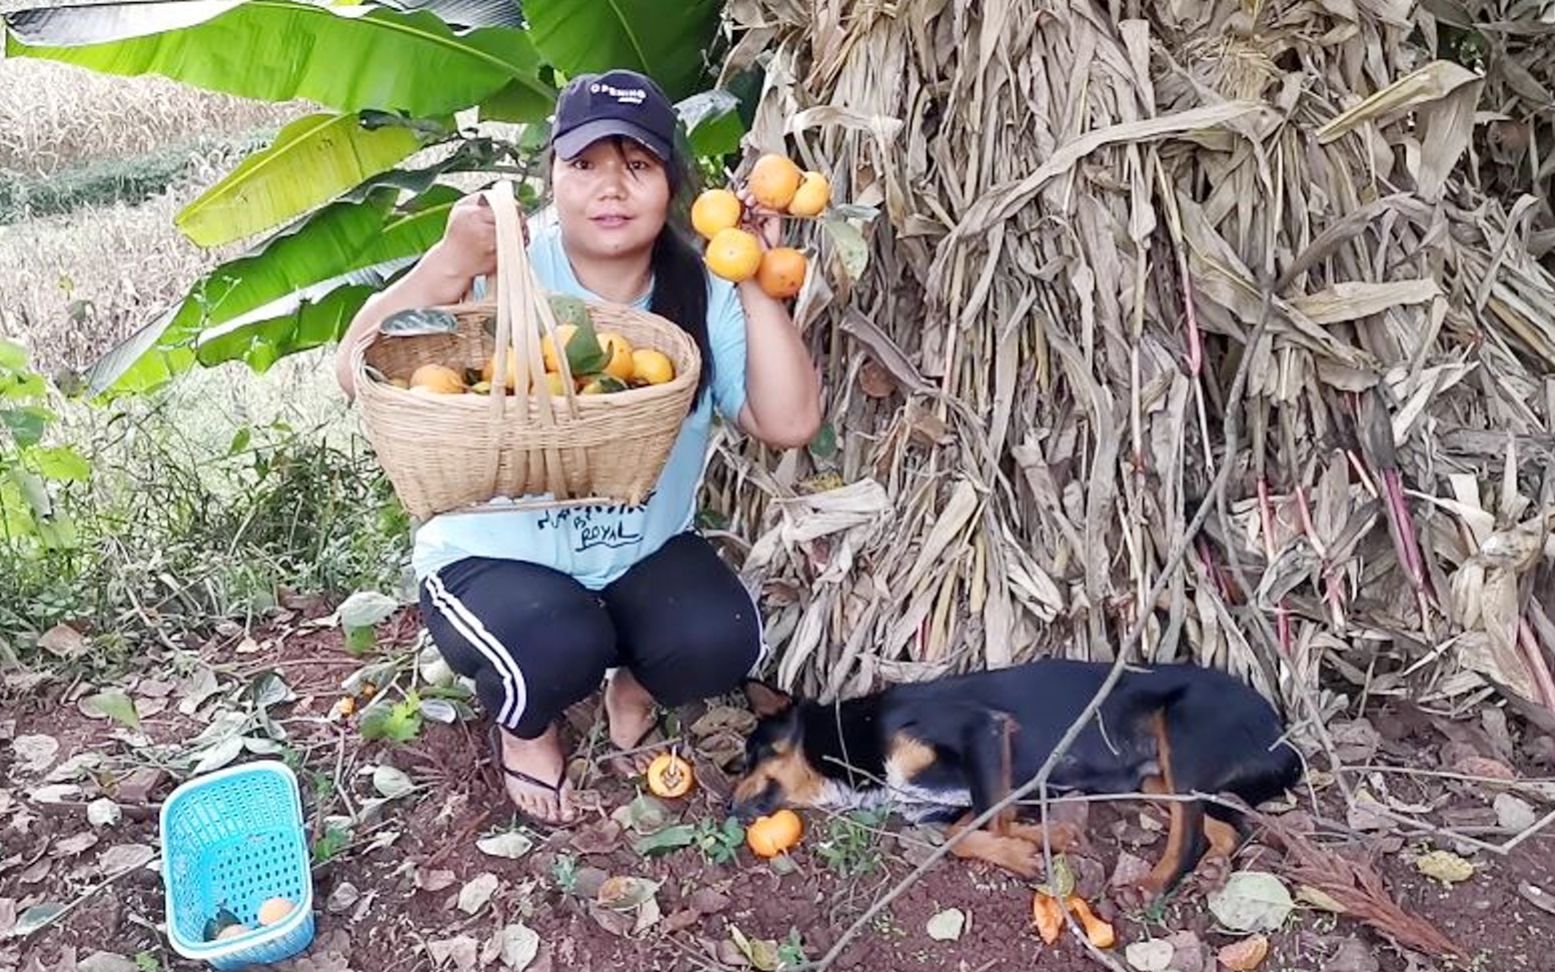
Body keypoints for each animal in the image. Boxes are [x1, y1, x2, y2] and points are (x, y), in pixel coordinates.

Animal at [727, 656, 1299, 895]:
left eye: (753, 753)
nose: (729, 807)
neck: (853, 742)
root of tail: (1282, 731)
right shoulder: (959, 796)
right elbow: (962, 831)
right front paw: (1052, 834)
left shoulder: (985, 730)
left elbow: (984, 824)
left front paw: (1029, 850)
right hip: (1154, 779)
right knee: (1222, 827)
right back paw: (1215, 868)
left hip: (1182, 734)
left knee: (1189, 834)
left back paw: (1155, 883)